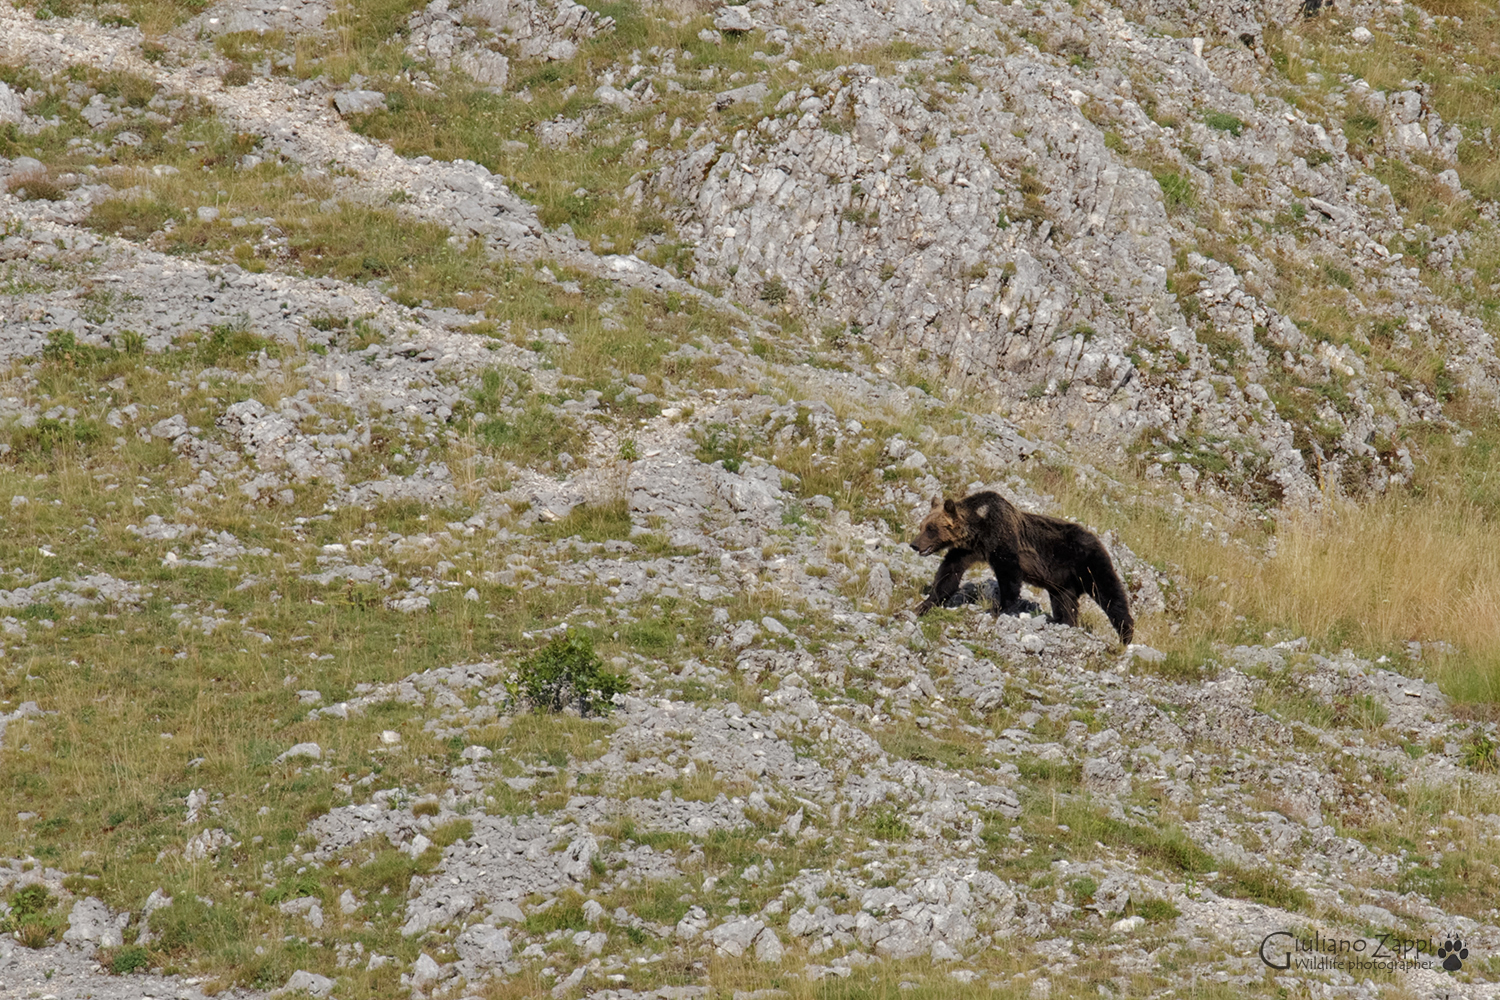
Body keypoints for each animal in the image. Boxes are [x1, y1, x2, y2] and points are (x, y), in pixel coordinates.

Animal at [909, 491, 1134, 644]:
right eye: (922, 526)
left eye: (930, 529)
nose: (914, 544)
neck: (979, 529)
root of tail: (1098, 539)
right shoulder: (967, 550)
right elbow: (949, 573)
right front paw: (925, 604)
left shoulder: (1003, 539)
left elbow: (1009, 575)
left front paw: (997, 607)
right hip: (1063, 581)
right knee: (1065, 602)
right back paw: (1065, 622)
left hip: (1088, 562)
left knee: (1109, 593)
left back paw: (1126, 635)